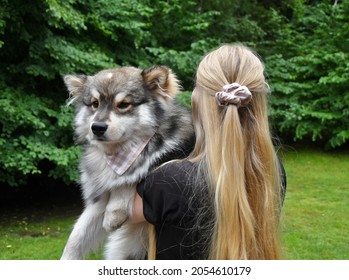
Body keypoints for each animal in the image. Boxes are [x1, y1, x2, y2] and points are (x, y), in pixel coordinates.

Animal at [60, 65, 194, 260]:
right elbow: (77, 235)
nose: (97, 127)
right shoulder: (98, 200)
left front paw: (114, 211)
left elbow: (130, 178)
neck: (118, 153)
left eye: (123, 104)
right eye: (94, 104)